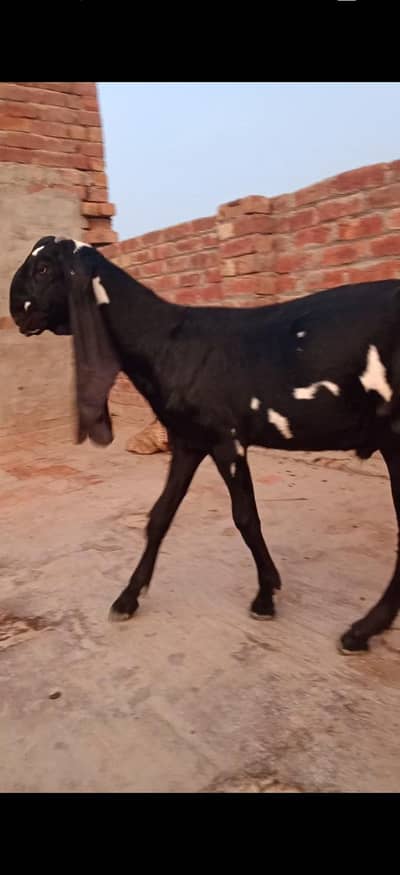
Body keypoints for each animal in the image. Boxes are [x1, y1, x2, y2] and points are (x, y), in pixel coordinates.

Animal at [9, 235, 400, 654]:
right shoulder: (188, 441)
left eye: (44, 268)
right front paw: (127, 599)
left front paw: (265, 596)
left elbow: (245, 517)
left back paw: (362, 630)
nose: (14, 309)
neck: (167, 340)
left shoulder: (225, 439)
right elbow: (160, 516)